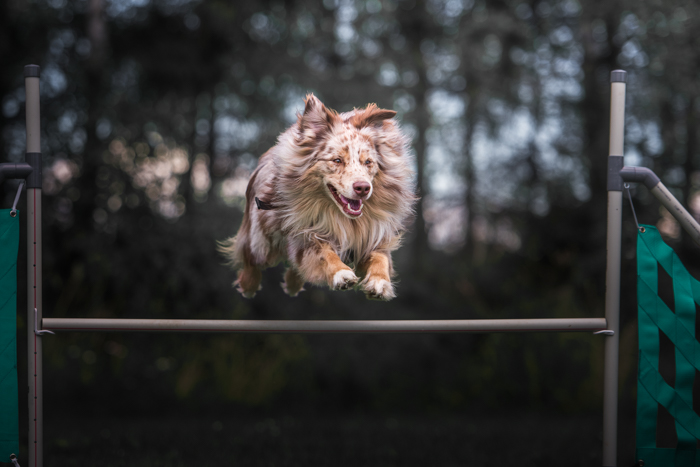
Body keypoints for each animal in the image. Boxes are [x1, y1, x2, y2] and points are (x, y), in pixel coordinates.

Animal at [220, 93, 416, 302]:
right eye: (337, 160)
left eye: (368, 162)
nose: (363, 188)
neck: (344, 219)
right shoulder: (307, 233)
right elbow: (325, 254)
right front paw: (341, 274)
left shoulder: (374, 235)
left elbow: (380, 259)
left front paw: (380, 283)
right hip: (262, 239)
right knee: (252, 258)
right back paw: (249, 285)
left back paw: (293, 284)